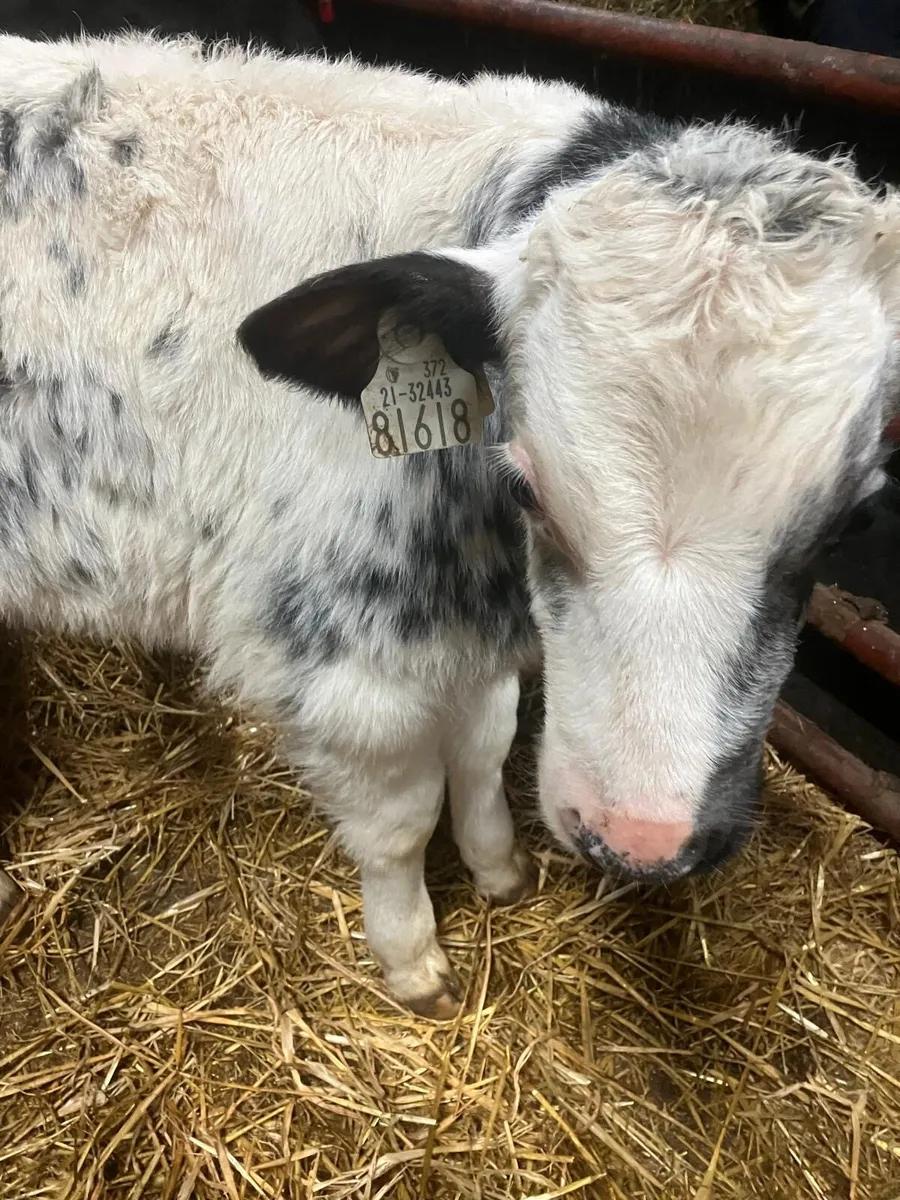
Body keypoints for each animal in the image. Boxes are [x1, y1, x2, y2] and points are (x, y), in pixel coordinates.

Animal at [1, 33, 896, 1017]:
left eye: (851, 521)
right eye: (530, 489)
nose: (641, 839)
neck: (480, 574)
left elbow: (483, 749)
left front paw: (499, 869)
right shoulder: (343, 665)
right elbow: (401, 822)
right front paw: (414, 960)